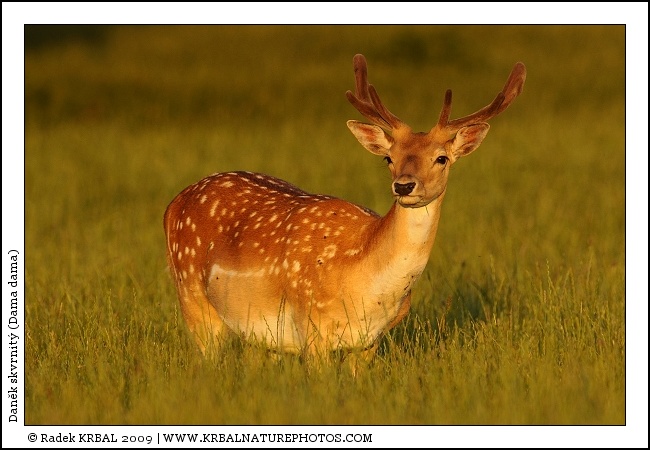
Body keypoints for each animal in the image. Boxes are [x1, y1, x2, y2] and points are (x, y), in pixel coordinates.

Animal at [164, 54, 526, 366]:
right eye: (388, 158)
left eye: (442, 158)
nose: (404, 186)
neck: (367, 287)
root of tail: (173, 203)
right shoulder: (311, 327)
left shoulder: (369, 342)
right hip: (193, 300)